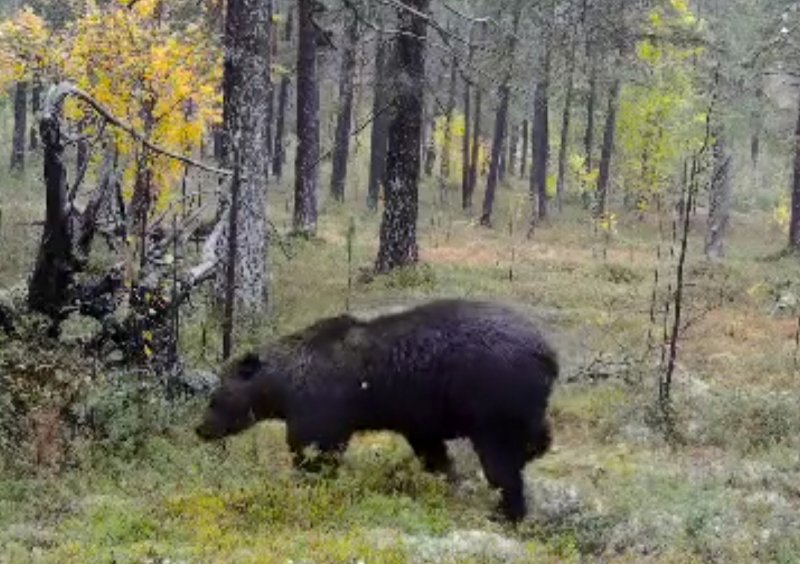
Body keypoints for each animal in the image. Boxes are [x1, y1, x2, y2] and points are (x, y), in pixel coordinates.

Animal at [195, 298, 560, 524]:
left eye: (214, 397)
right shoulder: (415, 417)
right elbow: (432, 451)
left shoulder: (322, 406)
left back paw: (506, 512)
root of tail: (547, 352)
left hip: (493, 399)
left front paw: (307, 482)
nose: (201, 428)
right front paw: (447, 478)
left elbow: (315, 449)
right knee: (535, 436)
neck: (282, 387)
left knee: (502, 462)